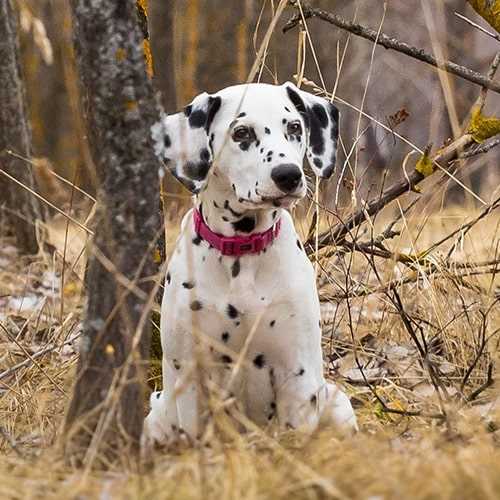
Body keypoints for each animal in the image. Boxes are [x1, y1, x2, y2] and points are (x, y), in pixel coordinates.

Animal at [143, 82, 358, 446]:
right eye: (241, 133)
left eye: (295, 127)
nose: (288, 175)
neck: (241, 253)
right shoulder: (191, 375)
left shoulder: (296, 373)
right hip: (158, 415)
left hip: (335, 401)